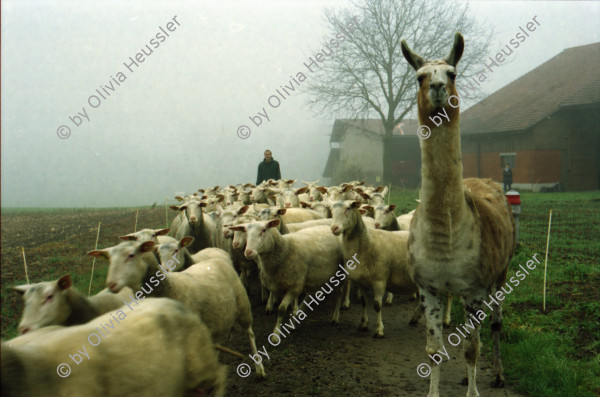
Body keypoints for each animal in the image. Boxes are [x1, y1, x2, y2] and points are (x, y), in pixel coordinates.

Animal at [88, 238, 264, 378]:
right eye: (109, 259)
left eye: (131, 255)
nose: (111, 284)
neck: (170, 287)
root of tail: (216, 259)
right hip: (218, 315)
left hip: (242, 306)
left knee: (250, 334)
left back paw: (259, 368)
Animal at [328, 200, 422, 336]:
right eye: (331, 210)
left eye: (348, 208)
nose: (334, 228)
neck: (367, 243)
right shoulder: (361, 281)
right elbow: (364, 302)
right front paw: (363, 324)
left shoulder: (379, 280)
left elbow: (377, 305)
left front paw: (379, 330)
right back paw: (415, 317)